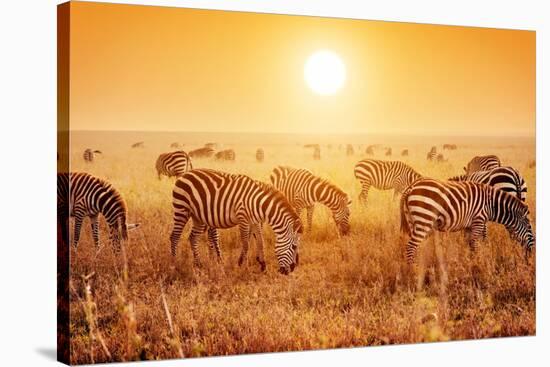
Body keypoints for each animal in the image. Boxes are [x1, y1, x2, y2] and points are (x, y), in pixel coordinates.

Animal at [171, 169, 304, 274]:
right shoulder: (243, 219)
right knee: (174, 236)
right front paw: (244, 267)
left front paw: (263, 265)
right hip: (182, 209)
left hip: (197, 216)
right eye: (294, 246)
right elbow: (246, 244)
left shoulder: (254, 221)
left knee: (193, 237)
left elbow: (260, 242)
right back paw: (174, 264)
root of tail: (185, 174)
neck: (258, 203)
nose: (291, 270)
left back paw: (198, 265)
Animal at [404, 179, 536, 264]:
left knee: (415, 247)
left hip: (413, 221)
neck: (491, 205)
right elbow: (474, 244)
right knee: (410, 247)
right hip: (424, 219)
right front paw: (477, 265)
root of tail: (411, 187)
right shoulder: (478, 220)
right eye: (530, 227)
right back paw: (413, 271)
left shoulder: (469, 225)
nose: (531, 256)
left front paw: (468, 262)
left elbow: (469, 244)